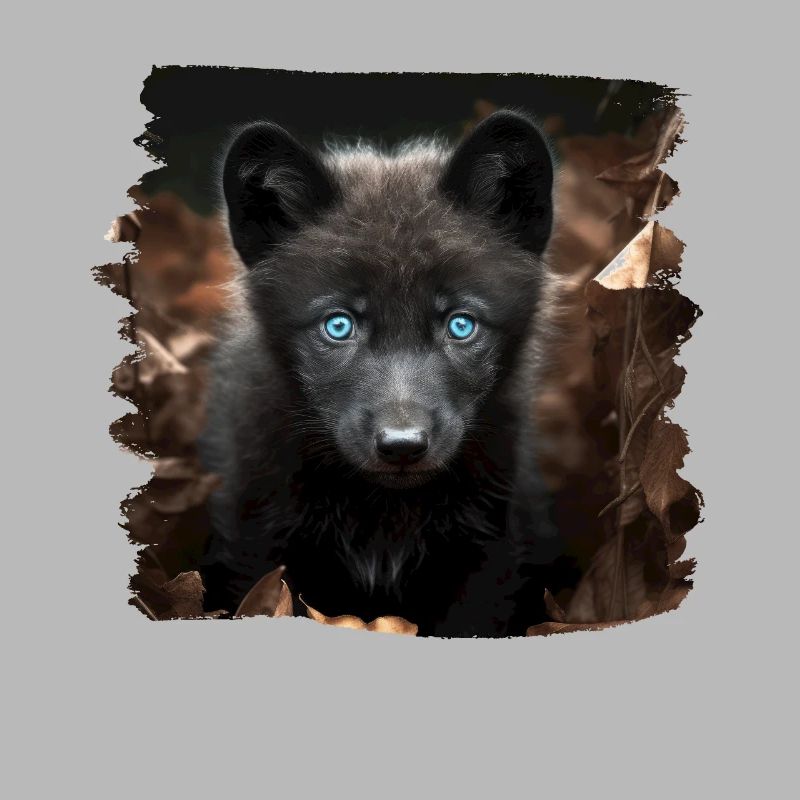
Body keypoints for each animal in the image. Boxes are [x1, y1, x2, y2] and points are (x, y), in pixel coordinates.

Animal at [198, 110, 565, 636]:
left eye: (461, 324)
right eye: (338, 325)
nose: (402, 446)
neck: (385, 517)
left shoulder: (488, 554)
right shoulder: (257, 540)